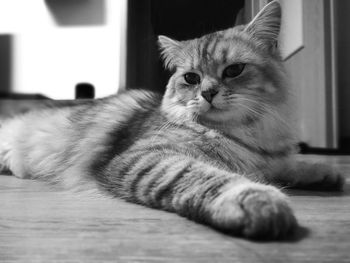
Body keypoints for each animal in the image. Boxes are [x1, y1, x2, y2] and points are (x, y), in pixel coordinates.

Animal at [0, 0, 344, 240]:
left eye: (234, 70)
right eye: (191, 78)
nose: (207, 93)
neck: (245, 134)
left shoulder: (268, 157)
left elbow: (287, 165)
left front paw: (323, 172)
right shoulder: (149, 156)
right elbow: (207, 177)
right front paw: (258, 201)